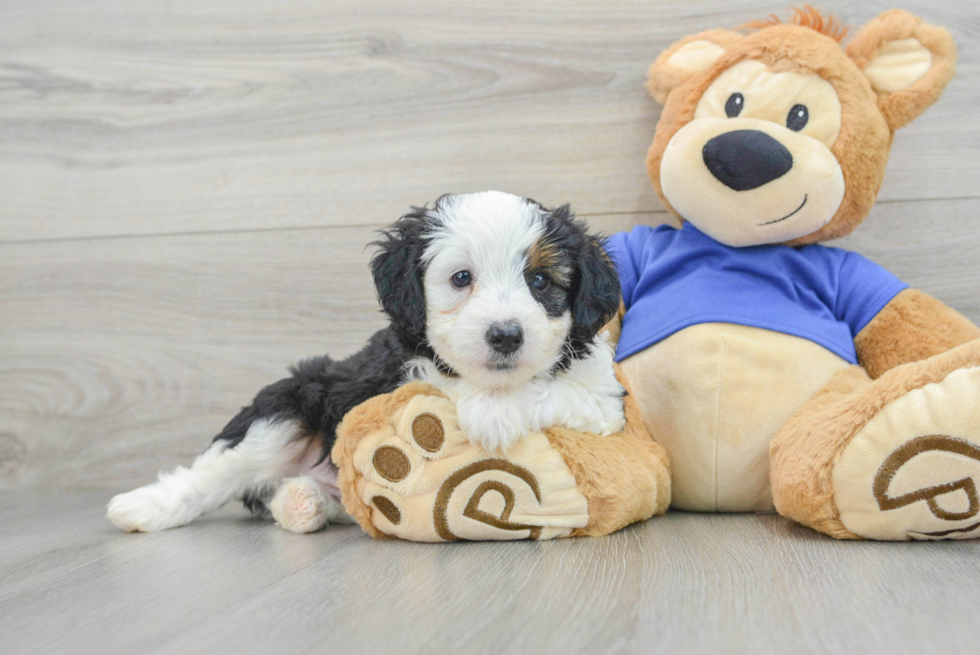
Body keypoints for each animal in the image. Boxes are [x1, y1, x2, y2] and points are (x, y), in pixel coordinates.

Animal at [107, 190, 624, 532]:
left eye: (539, 281)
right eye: (461, 278)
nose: (505, 335)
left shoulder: (602, 403)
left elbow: (555, 389)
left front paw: (493, 409)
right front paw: (489, 408)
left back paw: (302, 502)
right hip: (293, 402)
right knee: (221, 470)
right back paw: (143, 507)